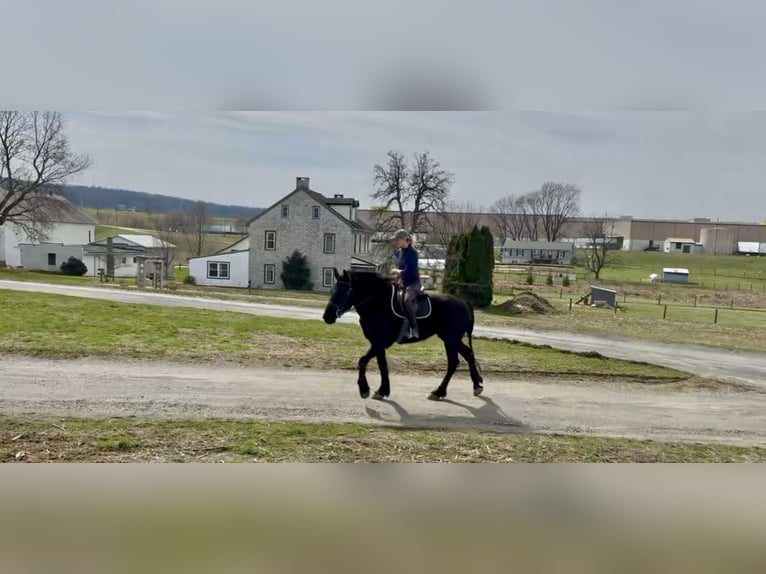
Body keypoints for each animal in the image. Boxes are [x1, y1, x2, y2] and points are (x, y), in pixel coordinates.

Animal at [322, 268, 484, 401]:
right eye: (333, 290)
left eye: (346, 291)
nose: (327, 316)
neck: (378, 303)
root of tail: (464, 302)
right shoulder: (377, 343)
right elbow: (382, 365)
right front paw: (383, 390)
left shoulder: (381, 342)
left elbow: (363, 361)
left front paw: (364, 389)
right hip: (450, 339)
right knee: (465, 356)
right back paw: (473, 385)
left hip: (451, 339)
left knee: (455, 362)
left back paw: (441, 391)